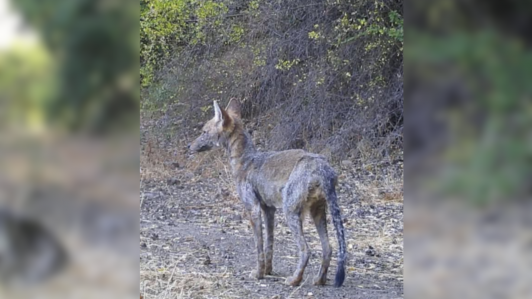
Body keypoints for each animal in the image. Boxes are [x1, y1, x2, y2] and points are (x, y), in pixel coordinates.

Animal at [189, 99, 348, 288]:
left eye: (204, 132)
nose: (189, 146)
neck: (245, 160)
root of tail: (322, 166)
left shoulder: (253, 209)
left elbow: (259, 247)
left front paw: (258, 274)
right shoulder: (269, 210)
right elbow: (269, 245)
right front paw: (268, 271)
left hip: (291, 213)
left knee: (306, 250)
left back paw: (295, 280)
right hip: (317, 213)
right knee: (328, 248)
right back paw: (319, 280)